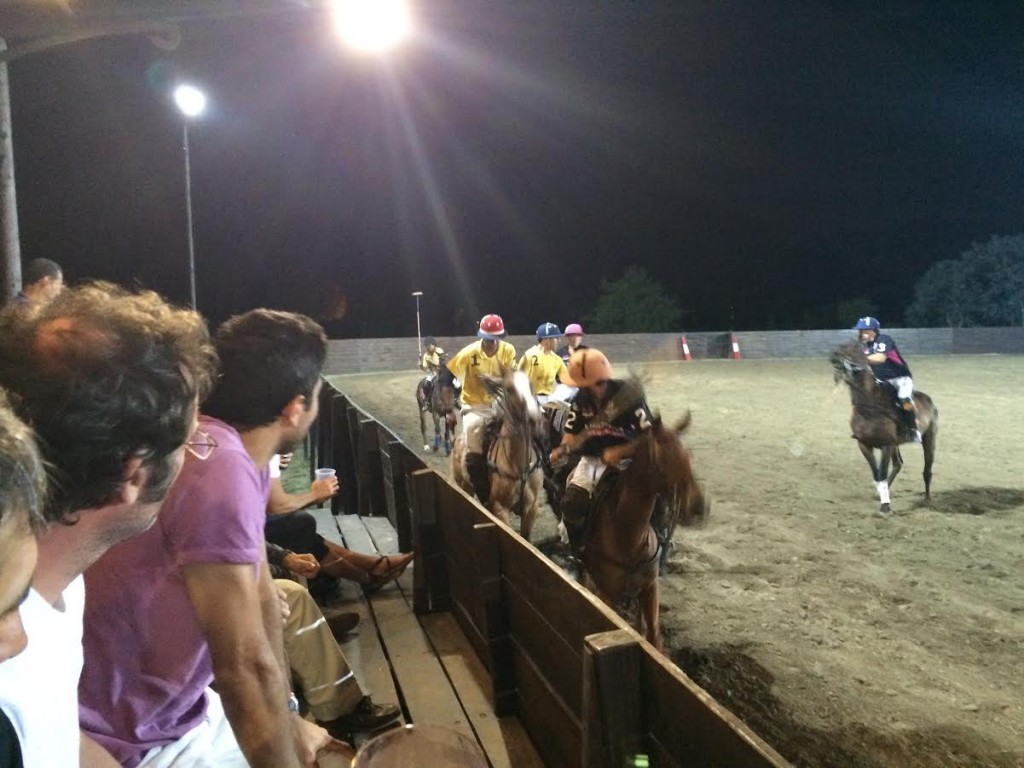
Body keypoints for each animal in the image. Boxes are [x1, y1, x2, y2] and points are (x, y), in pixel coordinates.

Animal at [448, 366, 544, 540]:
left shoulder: (532, 509)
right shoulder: (501, 509)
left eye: (531, 385)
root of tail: (457, 440)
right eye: (509, 389)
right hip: (464, 486)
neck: (520, 466)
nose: (534, 420)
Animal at [581, 411, 708, 651]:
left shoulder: (650, 588)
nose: (699, 508)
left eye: (689, 457)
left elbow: (653, 636)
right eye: (663, 460)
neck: (629, 537)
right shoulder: (607, 595)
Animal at [827, 344, 937, 518]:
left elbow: (883, 473)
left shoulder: (886, 445)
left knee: (927, 470)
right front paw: (881, 496)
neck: (869, 406)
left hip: (929, 438)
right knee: (898, 464)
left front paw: (885, 508)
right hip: (897, 444)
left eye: (854, 349)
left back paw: (927, 499)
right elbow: (877, 474)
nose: (834, 357)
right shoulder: (864, 444)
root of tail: (928, 399)